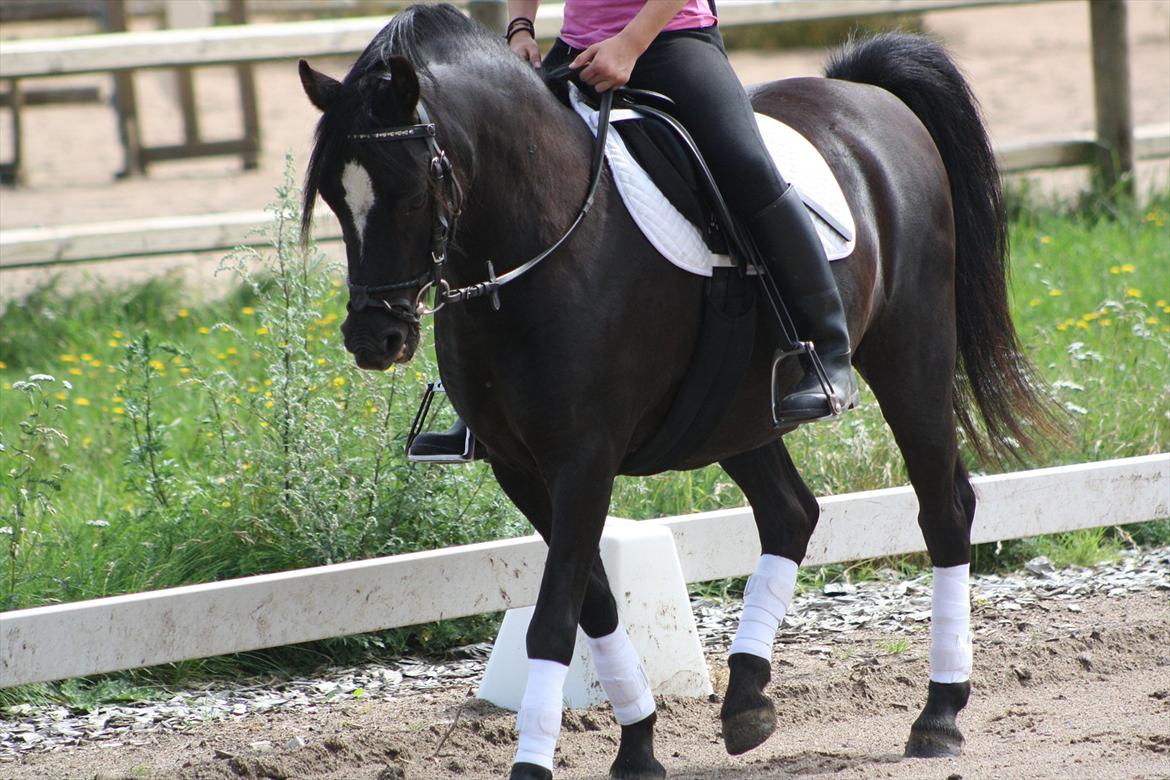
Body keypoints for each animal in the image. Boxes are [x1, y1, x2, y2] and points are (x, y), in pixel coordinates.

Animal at [298, 5, 1053, 778]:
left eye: (412, 189)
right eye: (333, 196)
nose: (374, 337)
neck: (542, 237)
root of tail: (863, 96)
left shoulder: (583, 460)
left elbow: (554, 621)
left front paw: (536, 763)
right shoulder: (521, 467)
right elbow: (593, 605)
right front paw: (637, 746)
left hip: (911, 353)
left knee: (944, 511)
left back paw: (939, 713)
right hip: (733, 410)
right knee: (791, 514)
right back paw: (747, 701)